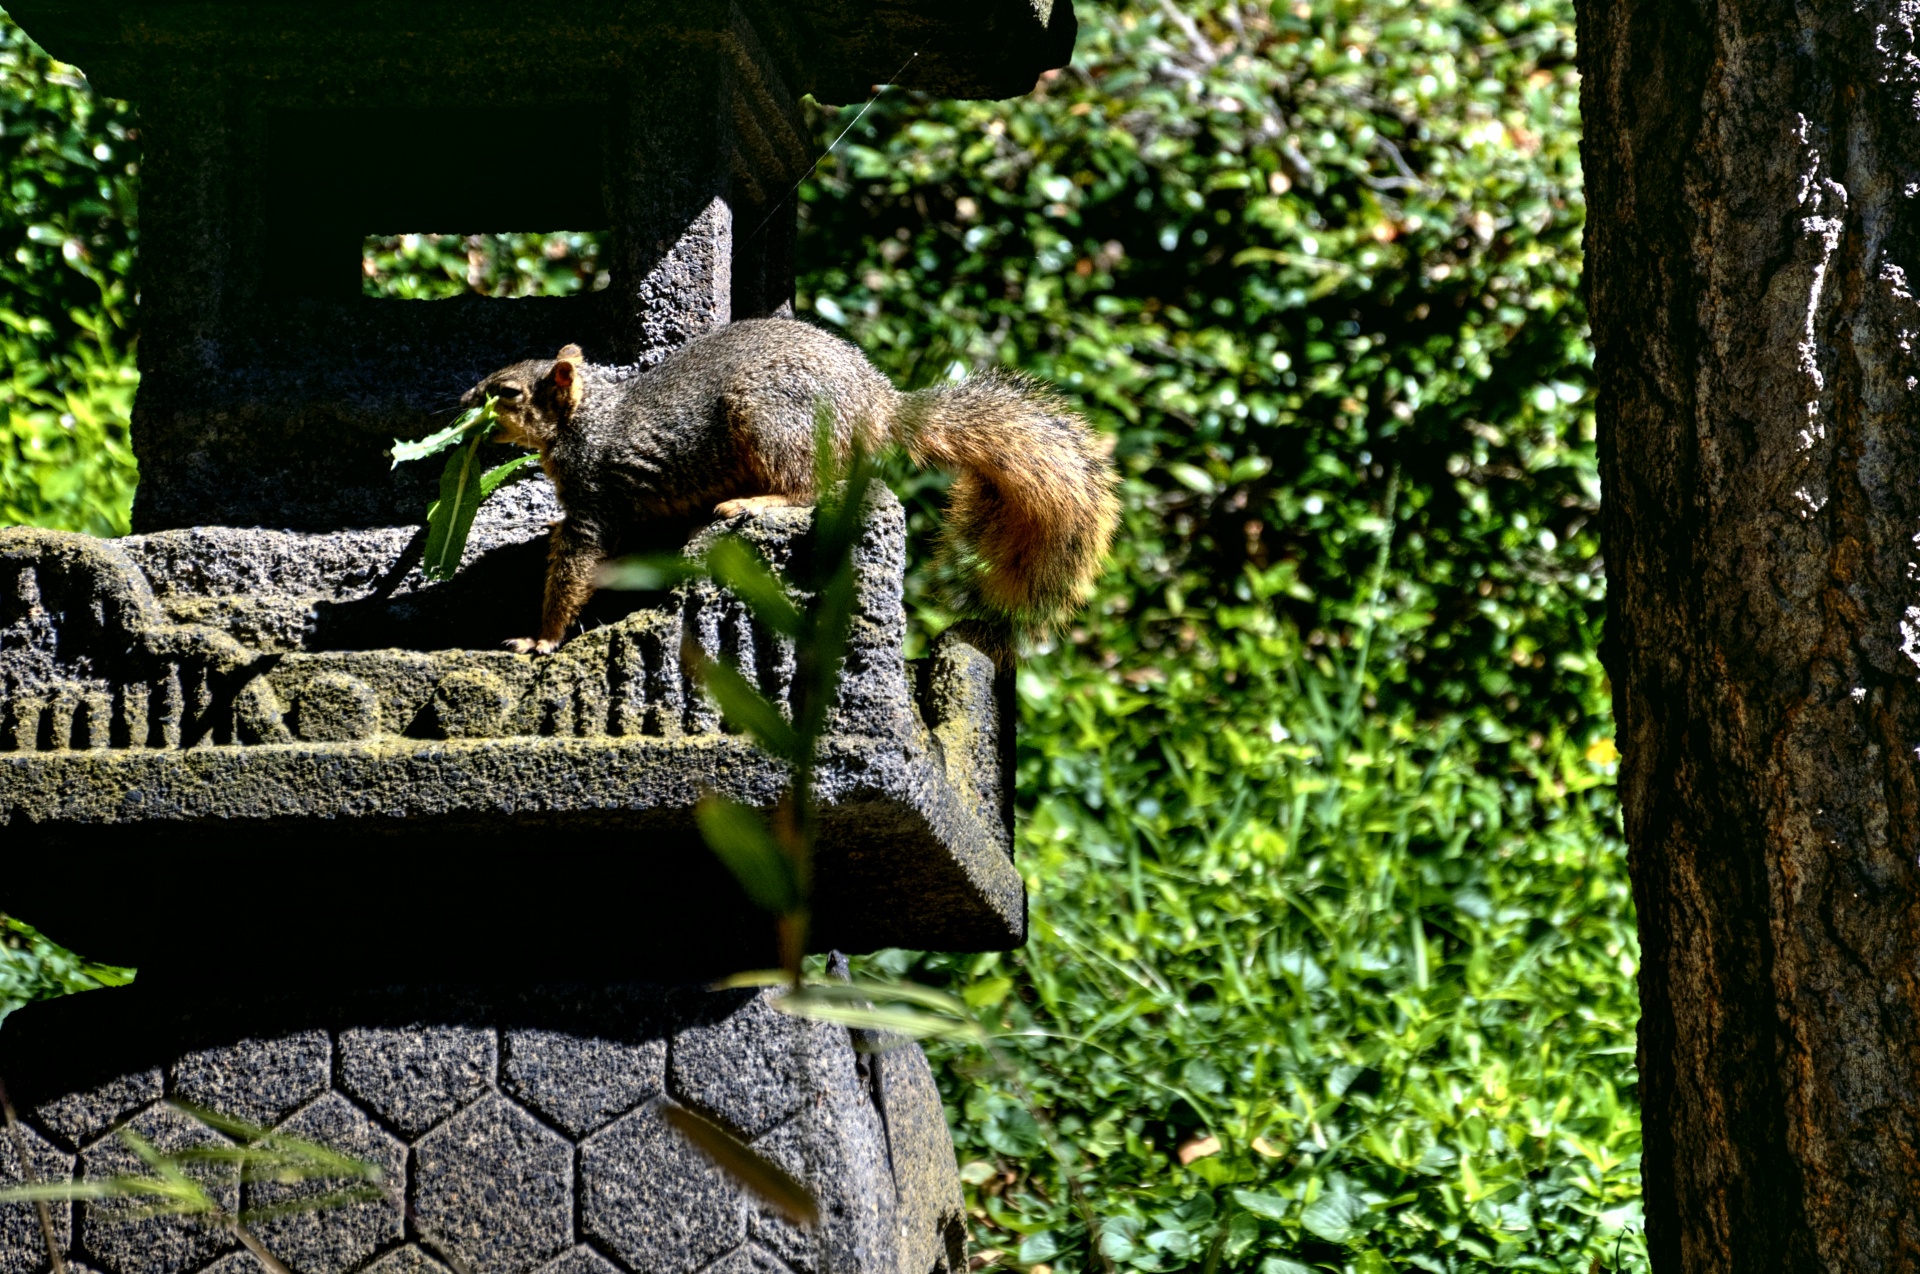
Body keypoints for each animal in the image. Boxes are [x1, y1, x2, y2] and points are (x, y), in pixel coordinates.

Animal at [462, 316, 1121, 660]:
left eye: (508, 394)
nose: (466, 399)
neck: (588, 418)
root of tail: (878, 407)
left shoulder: (596, 497)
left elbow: (576, 567)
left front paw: (540, 638)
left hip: (774, 422)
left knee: (809, 489)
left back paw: (751, 501)